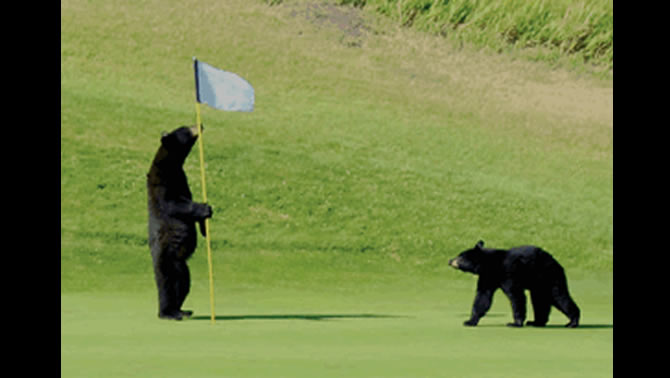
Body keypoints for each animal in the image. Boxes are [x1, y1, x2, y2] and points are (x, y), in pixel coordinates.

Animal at [148, 125, 214, 320]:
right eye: (185, 128)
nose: (200, 125)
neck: (172, 164)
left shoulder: (181, 178)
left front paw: (204, 226)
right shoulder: (161, 182)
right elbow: (174, 204)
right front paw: (204, 209)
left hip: (182, 265)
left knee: (184, 283)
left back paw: (182, 310)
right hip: (166, 259)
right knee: (168, 284)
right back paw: (168, 312)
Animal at [452, 242, 584, 328]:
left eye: (460, 256)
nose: (450, 261)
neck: (491, 265)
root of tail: (556, 262)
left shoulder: (508, 272)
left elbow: (516, 295)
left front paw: (515, 323)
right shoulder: (488, 278)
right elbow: (483, 297)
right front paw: (470, 321)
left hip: (550, 277)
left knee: (559, 296)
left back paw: (572, 322)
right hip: (539, 283)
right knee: (540, 300)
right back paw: (536, 322)